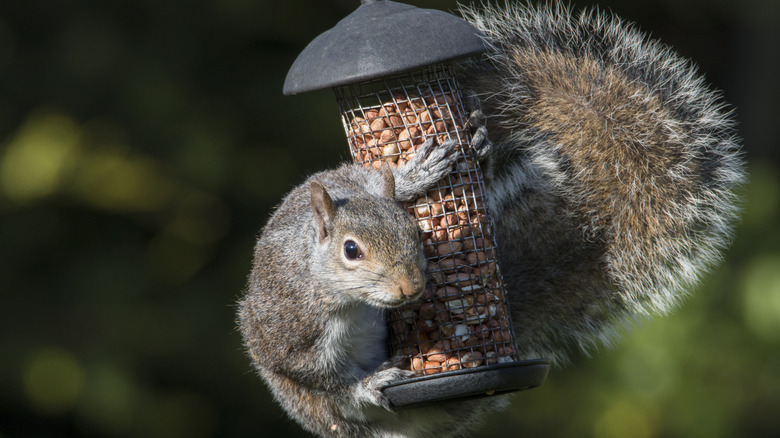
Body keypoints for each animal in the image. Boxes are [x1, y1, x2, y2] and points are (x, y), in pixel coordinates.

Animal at [238, 2, 745, 437]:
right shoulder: (291, 331)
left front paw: (418, 173)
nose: (410, 289)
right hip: (313, 407)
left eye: (413, 232)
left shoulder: (343, 179)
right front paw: (368, 384)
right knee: (341, 408)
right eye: (350, 251)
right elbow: (323, 379)